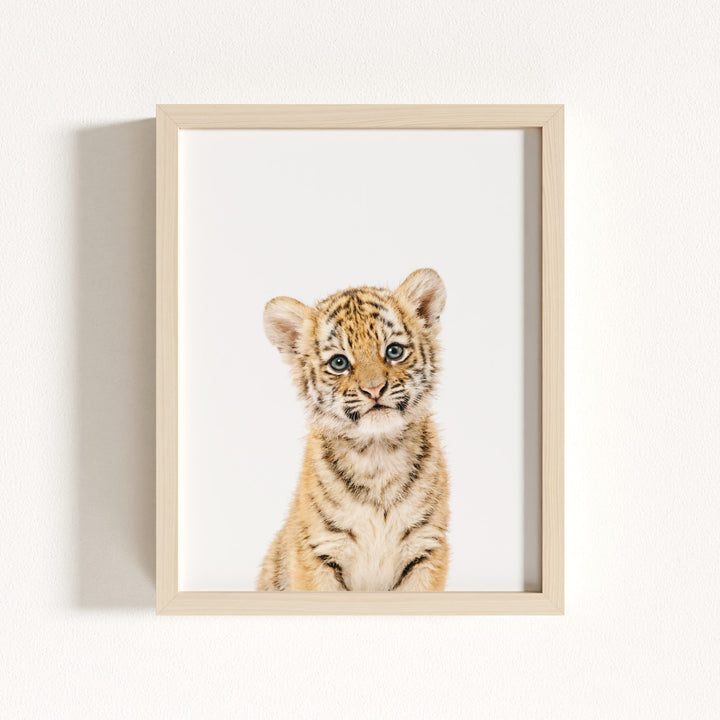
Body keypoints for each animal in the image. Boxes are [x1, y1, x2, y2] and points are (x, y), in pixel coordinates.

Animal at [256, 268, 450, 592]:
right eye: (339, 362)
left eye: (394, 351)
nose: (374, 389)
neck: (378, 453)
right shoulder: (318, 552)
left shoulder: (427, 548)